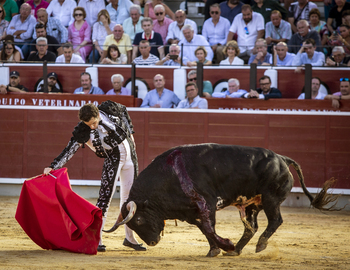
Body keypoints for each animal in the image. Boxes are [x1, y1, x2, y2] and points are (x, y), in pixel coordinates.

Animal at [104, 144, 340, 256]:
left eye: (139, 220)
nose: (152, 243)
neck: (169, 175)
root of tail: (282, 159)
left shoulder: (206, 204)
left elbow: (210, 229)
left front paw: (223, 246)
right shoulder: (192, 213)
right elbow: (206, 230)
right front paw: (217, 249)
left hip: (270, 199)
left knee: (275, 221)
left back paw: (260, 245)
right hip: (250, 205)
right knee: (251, 227)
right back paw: (238, 249)